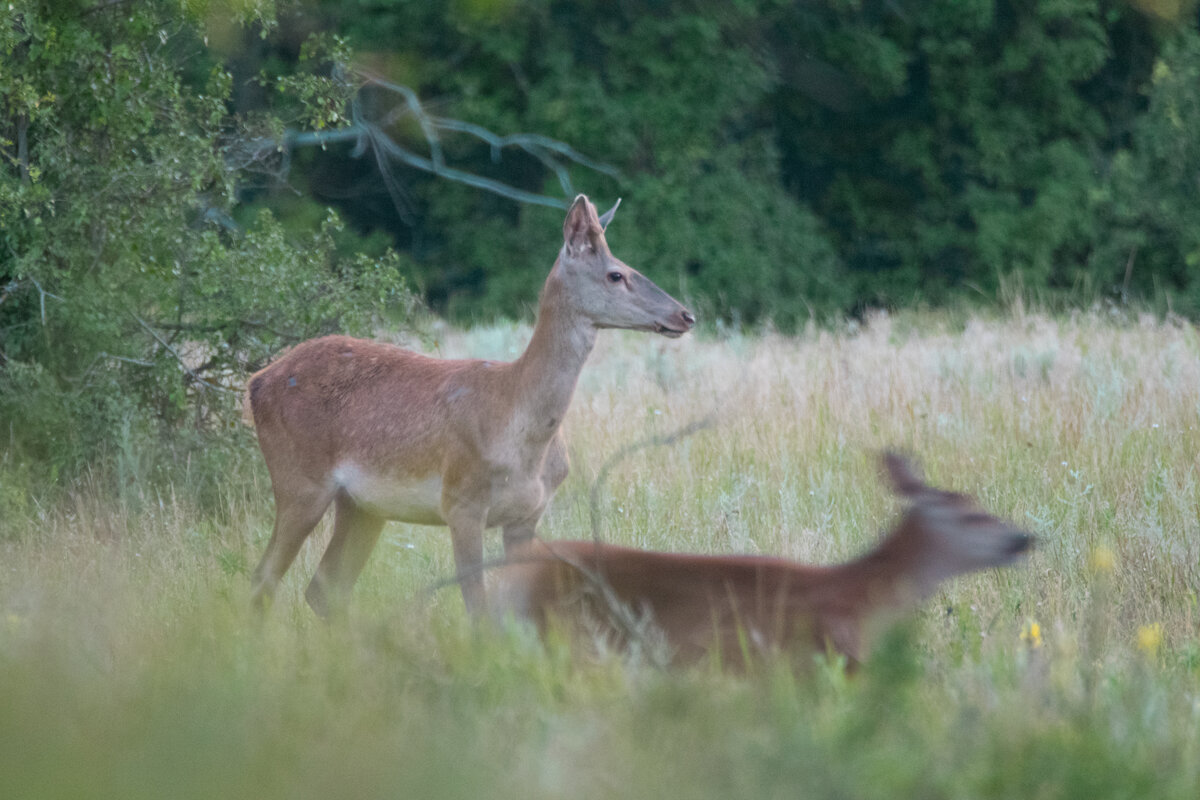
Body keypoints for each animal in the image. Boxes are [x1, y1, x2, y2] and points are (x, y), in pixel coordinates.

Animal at [243, 195, 696, 618]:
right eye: (616, 273)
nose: (686, 314)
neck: (519, 421)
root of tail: (256, 381)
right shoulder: (461, 502)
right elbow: (478, 610)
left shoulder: (527, 516)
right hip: (300, 479)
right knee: (263, 579)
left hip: (361, 504)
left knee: (324, 588)